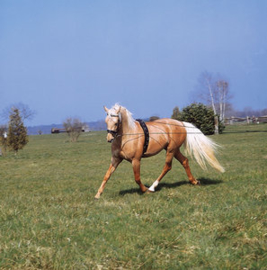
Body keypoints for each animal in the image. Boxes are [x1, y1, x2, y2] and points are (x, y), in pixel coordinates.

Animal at [95, 103, 225, 198]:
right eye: (106, 121)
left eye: (116, 122)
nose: (109, 138)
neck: (128, 135)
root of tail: (181, 123)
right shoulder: (115, 159)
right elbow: (107, 175)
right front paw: (98, 194)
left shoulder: (136, 160)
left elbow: (137, 178)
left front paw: (145, 189)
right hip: (174, 150)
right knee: (184, 161)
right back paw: (194, 181)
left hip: (171, 150)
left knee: (167, 166)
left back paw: (153, 187)